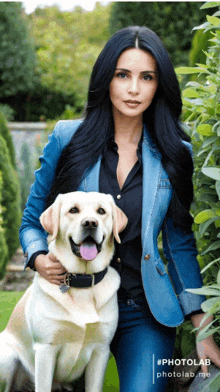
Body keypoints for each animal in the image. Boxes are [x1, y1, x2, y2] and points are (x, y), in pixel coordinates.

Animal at [0, 192, 127, 392]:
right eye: (73, 210)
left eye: (101, 211)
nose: (90, 223)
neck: (82, 279)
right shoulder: (45, 349)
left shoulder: (100, 351)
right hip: (7, 358)